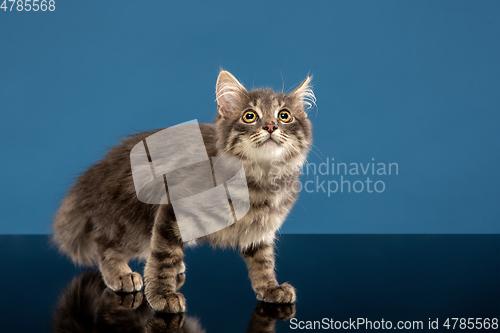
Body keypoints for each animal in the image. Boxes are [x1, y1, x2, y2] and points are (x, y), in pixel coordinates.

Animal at [53, 70, 312, 312]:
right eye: (250, 116)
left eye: (284, 115)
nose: (271, 126)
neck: (260, 177)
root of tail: (97, 171)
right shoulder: (173, 208)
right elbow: (163, 255)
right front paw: (162, 295)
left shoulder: (260, 231)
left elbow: (263, 262)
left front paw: (270, 288)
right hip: (135, 224)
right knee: (104, 244)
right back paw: (120, 274)